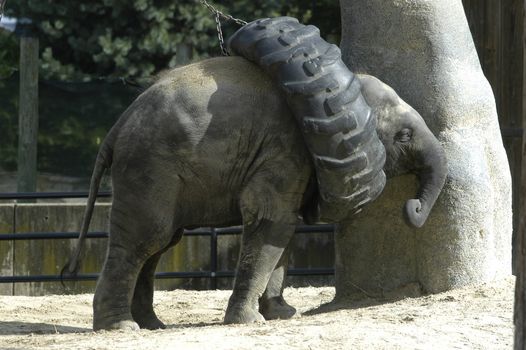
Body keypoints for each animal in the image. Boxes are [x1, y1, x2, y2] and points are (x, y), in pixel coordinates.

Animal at [65, 56, 446, 330]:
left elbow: (285, 230)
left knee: (161, 243)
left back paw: (152, 325)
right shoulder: (285, 150)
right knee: (146, 238)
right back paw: (120, 327)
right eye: (404, 136)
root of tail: (117, 126)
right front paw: (251, 321)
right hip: (148, 166)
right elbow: (270, 221)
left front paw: (284, 314)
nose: (411, 207)